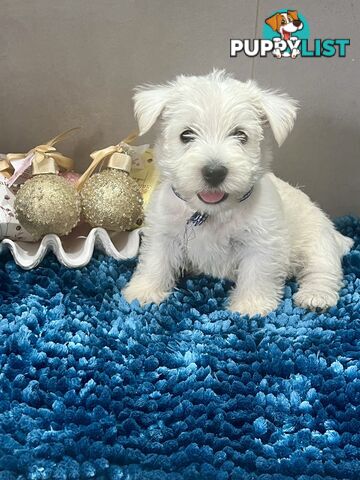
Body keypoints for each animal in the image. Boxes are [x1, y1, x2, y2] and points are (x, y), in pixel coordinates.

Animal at [122, 69, 352, 316]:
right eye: (186, 135)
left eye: (241, 135)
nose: (214, 172)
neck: (212, 213)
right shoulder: (162, 234)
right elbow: (155, 263)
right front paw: (143, 292)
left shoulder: (261, 244)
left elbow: (255, 275)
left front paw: (250, 307)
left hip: (317, 244)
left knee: (323, 272)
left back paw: (315, 296)